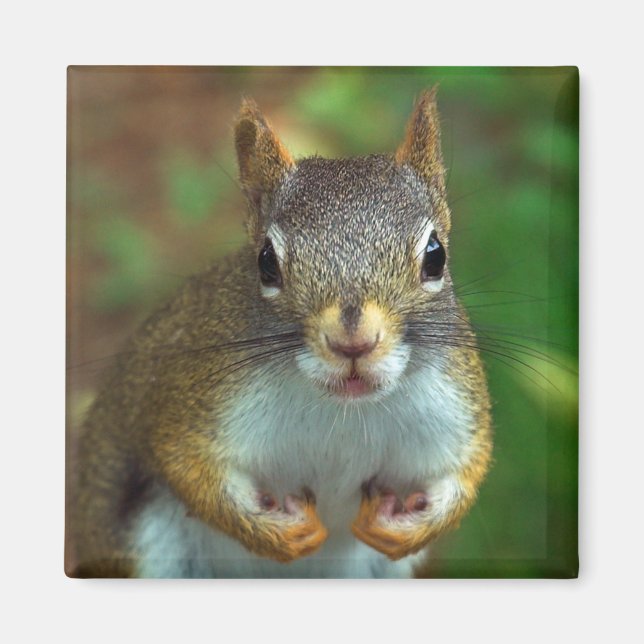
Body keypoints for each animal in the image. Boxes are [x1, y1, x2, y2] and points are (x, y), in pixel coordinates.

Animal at [66, 88, 492, 578]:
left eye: (435, 256)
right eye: (266, 262)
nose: (353, 343)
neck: (343, 412)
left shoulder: (455, 409)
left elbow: (465, 474)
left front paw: (407, 528)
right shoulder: (199, 401)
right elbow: (187, 465)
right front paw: (280, 533)